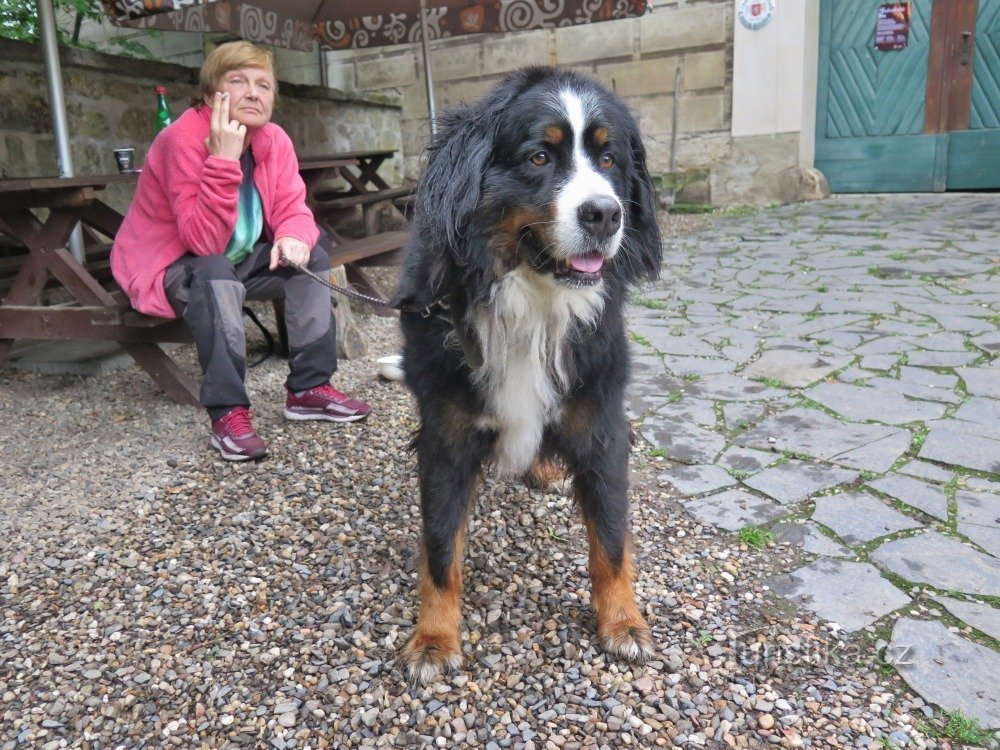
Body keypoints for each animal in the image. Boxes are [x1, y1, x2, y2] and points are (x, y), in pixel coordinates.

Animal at [392, 66, 664, 688]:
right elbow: (440, 548)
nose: (605, 214)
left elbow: (610, 536)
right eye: (539, 156)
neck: (533, 306)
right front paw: (433, 639)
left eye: (610, 160)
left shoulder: (600, 420)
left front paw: (624, 623)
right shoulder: (445, 434)